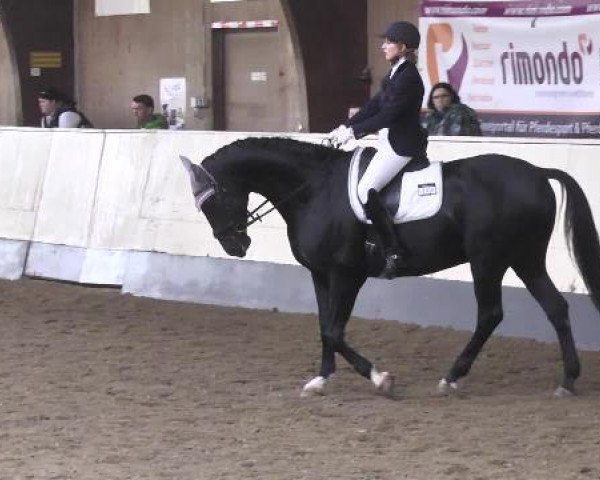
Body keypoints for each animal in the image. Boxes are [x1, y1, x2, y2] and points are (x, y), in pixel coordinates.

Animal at [180, 136, 600, 398]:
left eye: (212, 199)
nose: (235, 246)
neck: (313, 190)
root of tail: (538, 172)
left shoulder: (347, 275)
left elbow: (334, 330)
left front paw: (380, 379)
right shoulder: (320, 274)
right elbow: (324, 327)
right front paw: (321, 379)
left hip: (488, 260)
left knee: (491, 314)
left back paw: (451, 378)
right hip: (525, 258)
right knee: (555, 308)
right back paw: (567, 380)